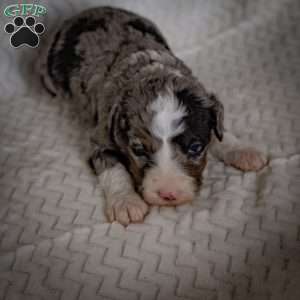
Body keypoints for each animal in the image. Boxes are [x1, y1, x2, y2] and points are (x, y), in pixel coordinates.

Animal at [40, 6, 268, 225]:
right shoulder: (100, 138)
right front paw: (126, 203)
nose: (168, 195)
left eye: (196, 147)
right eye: (138, 149)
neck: (154, 74)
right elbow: (113, 169)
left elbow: (219, 135)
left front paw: (244, 151)